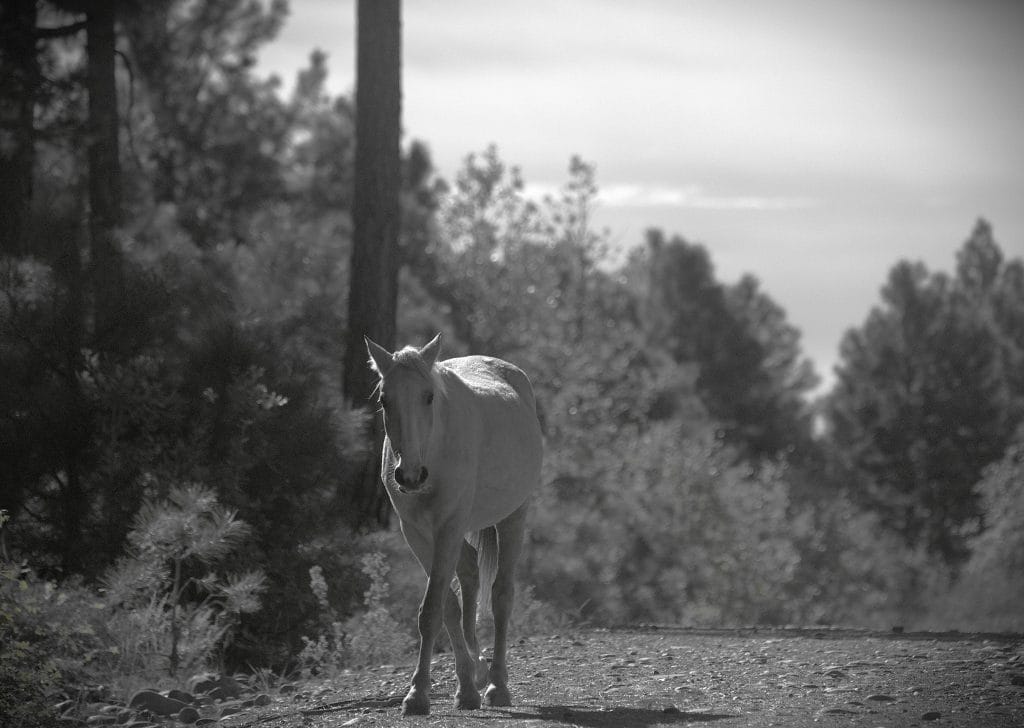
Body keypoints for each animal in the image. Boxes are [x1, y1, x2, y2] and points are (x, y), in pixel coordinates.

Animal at [364, 333, 543, 716]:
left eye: (428, 396)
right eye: (385, 400)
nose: (409, 476)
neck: (434, 450)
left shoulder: (447, 526)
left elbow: (433, 608)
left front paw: (418, 695)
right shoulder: (417, 533)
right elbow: (444, 606)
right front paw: (462, 688)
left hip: (513, 516)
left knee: (501, 595)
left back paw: (497, 685)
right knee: (470, 574)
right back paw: (477, 672)